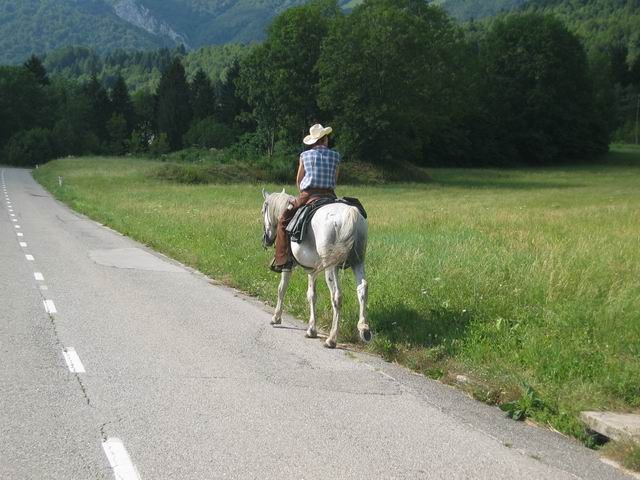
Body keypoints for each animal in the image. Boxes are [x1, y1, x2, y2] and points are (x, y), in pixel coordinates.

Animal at [260, 188, 370, 348]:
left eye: (263, 211)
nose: (266, 239)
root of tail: (351, 214)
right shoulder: (312, 270)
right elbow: (312, 295)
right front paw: (311, 329)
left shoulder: (288, 265)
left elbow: (282, 288)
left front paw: (276, 317)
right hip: (358, 262)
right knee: (362, 289)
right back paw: (364, 329)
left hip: (332, 267)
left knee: (337, 296)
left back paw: (332, 339)